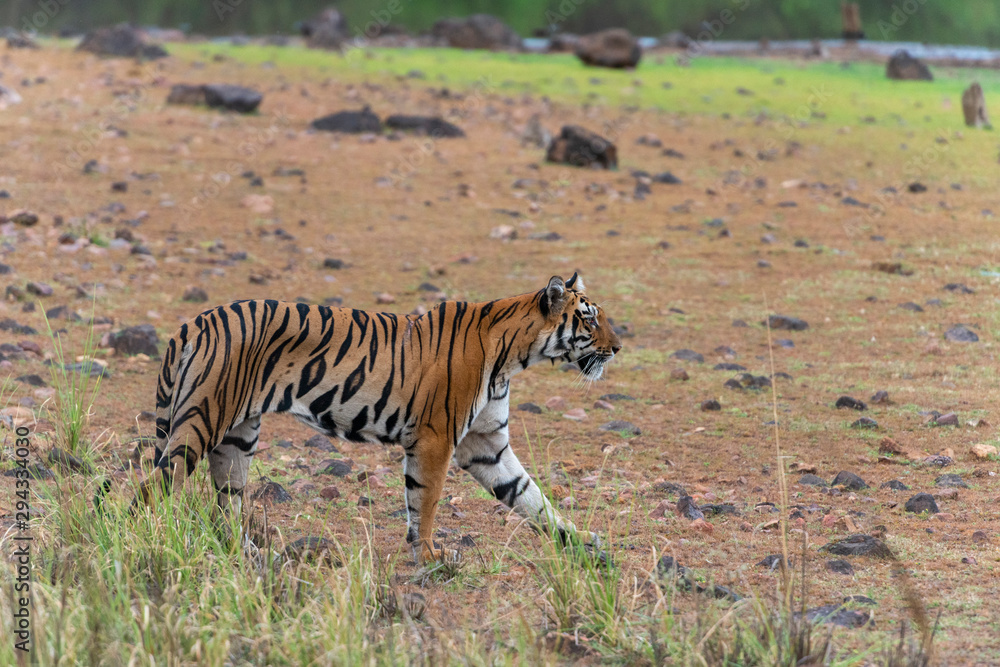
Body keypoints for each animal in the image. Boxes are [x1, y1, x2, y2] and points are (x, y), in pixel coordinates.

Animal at [130, 273, 621, 564]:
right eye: (589, 319)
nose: (617, 347)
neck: (514, 356)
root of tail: (193, 323)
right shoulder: (436, 438)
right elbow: (426, 500)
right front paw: (429, 555)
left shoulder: (487, 445)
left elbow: (531, 497)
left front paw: (582, 541)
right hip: (201, 420)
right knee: (150, 489)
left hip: (238, 437)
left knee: (224, 504)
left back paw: (250, 553)